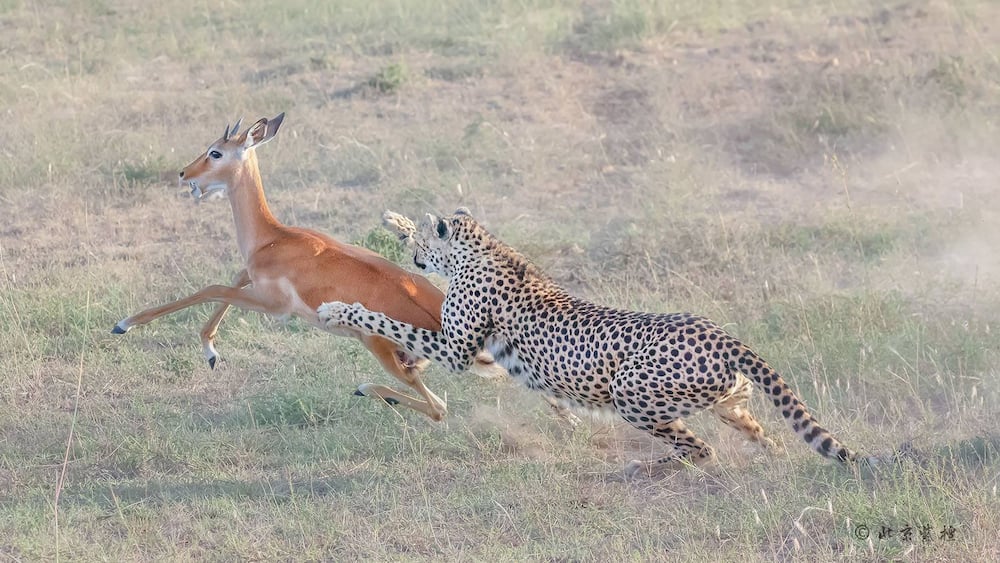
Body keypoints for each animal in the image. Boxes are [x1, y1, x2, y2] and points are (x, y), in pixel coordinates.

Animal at [322, 208, 868, 476]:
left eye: (424, 245)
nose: (414, 254)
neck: (484, 248)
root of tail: (722, 335)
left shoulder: (458, 349)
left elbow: (392, 324)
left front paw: (339, 311)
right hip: (728, 402)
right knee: (762, 436)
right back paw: (766, 457)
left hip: (631, 392)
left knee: (700, 448)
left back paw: (644, 466)